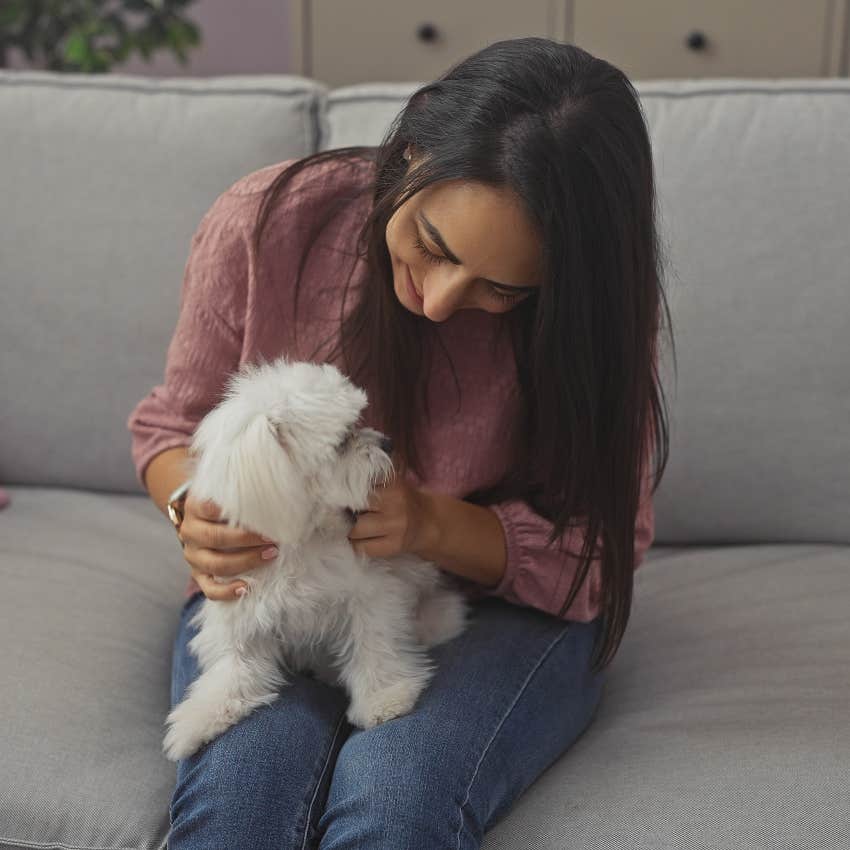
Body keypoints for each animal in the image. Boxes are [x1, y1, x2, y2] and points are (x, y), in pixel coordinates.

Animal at [162, 354, 468, 760]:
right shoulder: (243, 608)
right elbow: (233, 668)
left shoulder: (369, 594)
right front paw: (199, 718)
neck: (304, 538)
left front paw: (384, 699)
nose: (387, 443)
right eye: (342, 441)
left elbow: (374, 644)